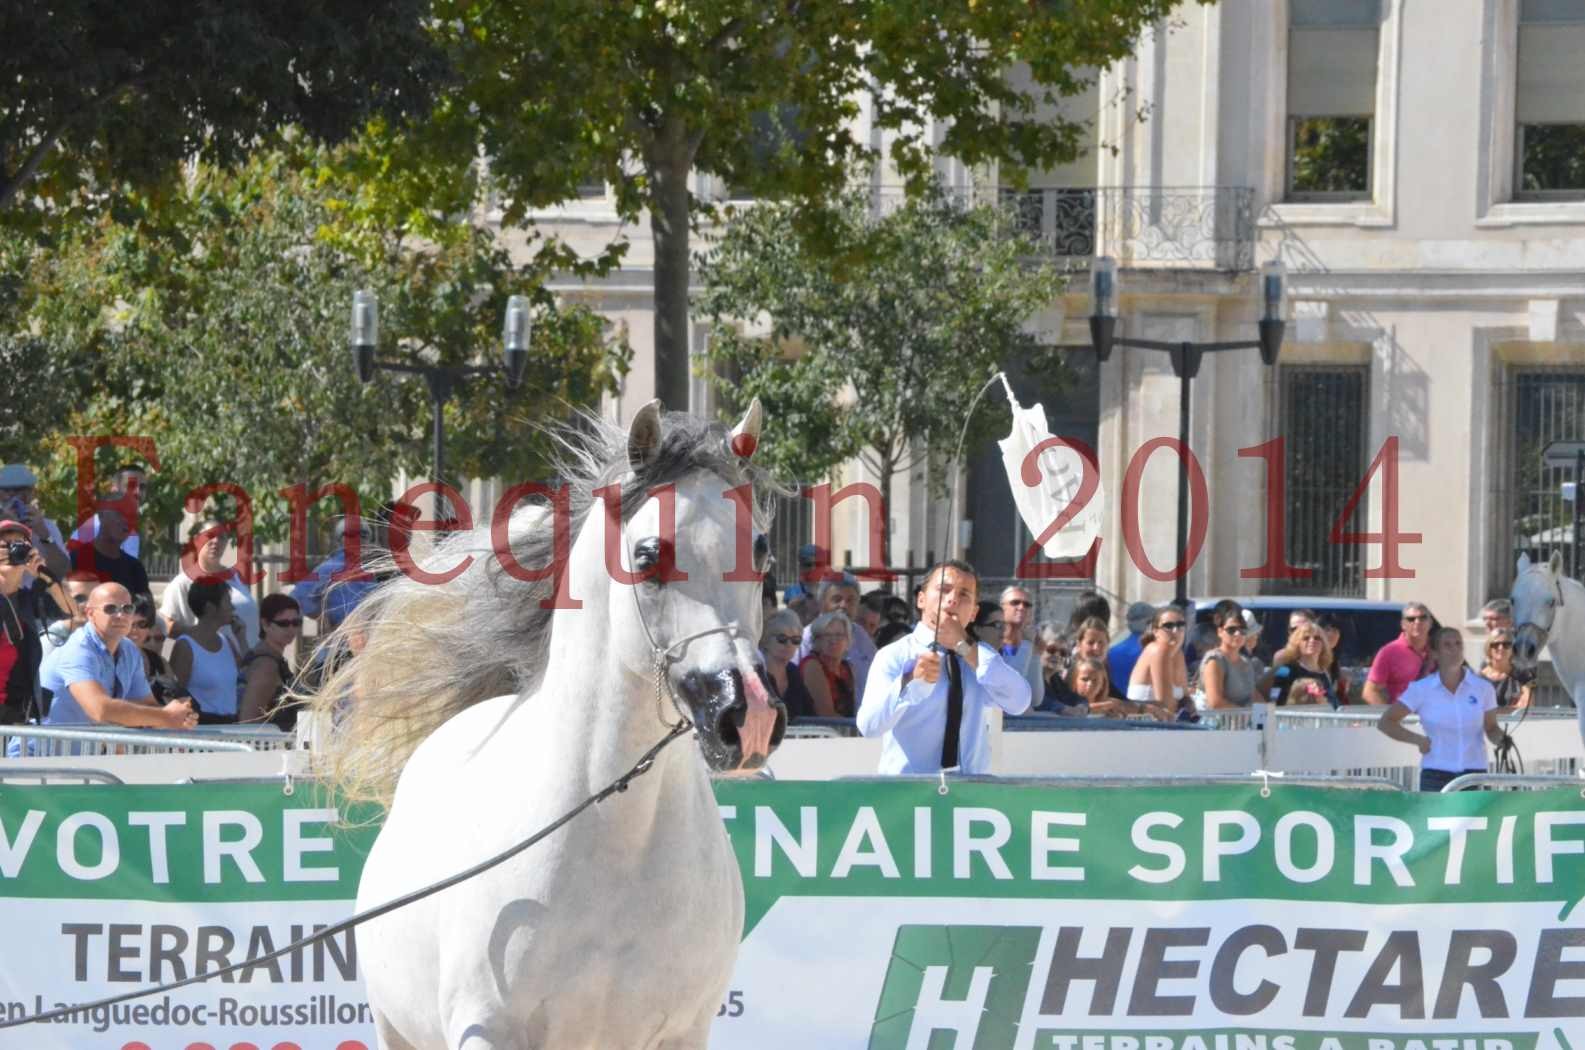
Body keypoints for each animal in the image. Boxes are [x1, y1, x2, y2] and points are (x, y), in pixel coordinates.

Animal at [309, 402, 786, 1050]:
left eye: (759, 550)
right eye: (647, 556)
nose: (748, 717)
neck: (615, 844)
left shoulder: (684, 1033)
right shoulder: (486, 1031)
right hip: (396, 1031)